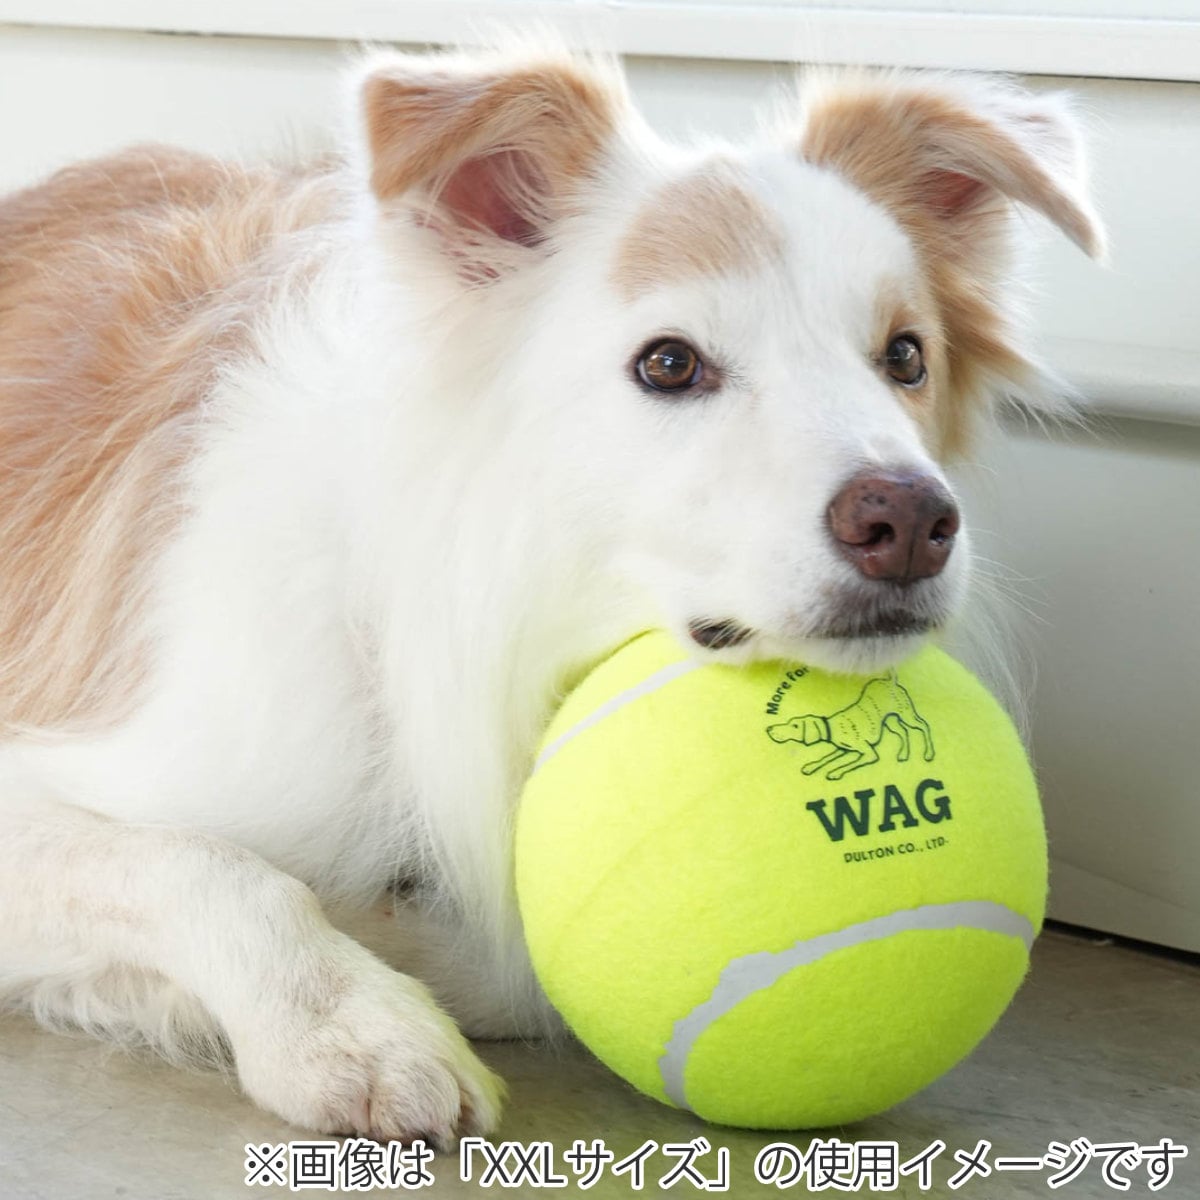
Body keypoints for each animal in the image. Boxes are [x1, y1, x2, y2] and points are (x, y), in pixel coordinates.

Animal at [768, 675, 935, 781]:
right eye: (790, 722)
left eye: (795, 726)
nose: (769, 729)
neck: (831, 727)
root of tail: (890, 681)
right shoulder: (842, 749)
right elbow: (826, 757)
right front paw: (811, 766)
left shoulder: (869, 753)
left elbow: (849, 764)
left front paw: (835, 773)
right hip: (890, 720)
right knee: (903, 731)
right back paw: (903, 754)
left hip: (906, 713)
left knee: (923, 725)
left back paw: (928, 754)